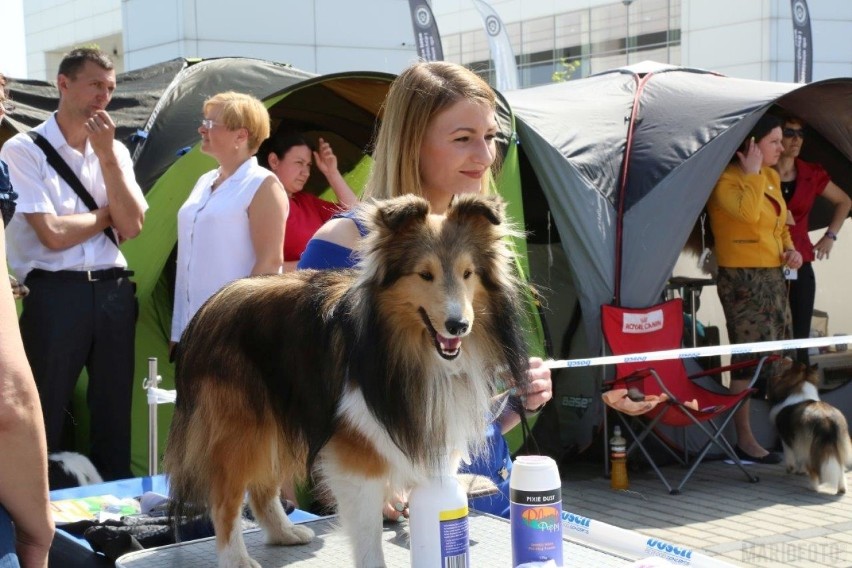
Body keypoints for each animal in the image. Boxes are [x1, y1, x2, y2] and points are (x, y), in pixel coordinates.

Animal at [163, 195, 528, 568]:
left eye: (468, 273)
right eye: (425, 274)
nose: (458, 326)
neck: (407, 348)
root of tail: (206, 310)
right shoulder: (356, 454)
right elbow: (368, 537)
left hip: (280, 421)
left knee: (263, 488)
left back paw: (284, 533)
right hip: (241, 430)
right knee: (225, 499)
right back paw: (236, 558)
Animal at [768, 364, 848, 492]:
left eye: (785, 372)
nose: (773, 377)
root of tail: (825, 420)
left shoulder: (787, 438)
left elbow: (790, 455)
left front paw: (792, 469)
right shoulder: (798, 441)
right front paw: (800, 471)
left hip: (809, 446)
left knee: (813, 468)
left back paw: (813, 487)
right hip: (839, 444)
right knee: (840, 467)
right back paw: (841, 488)